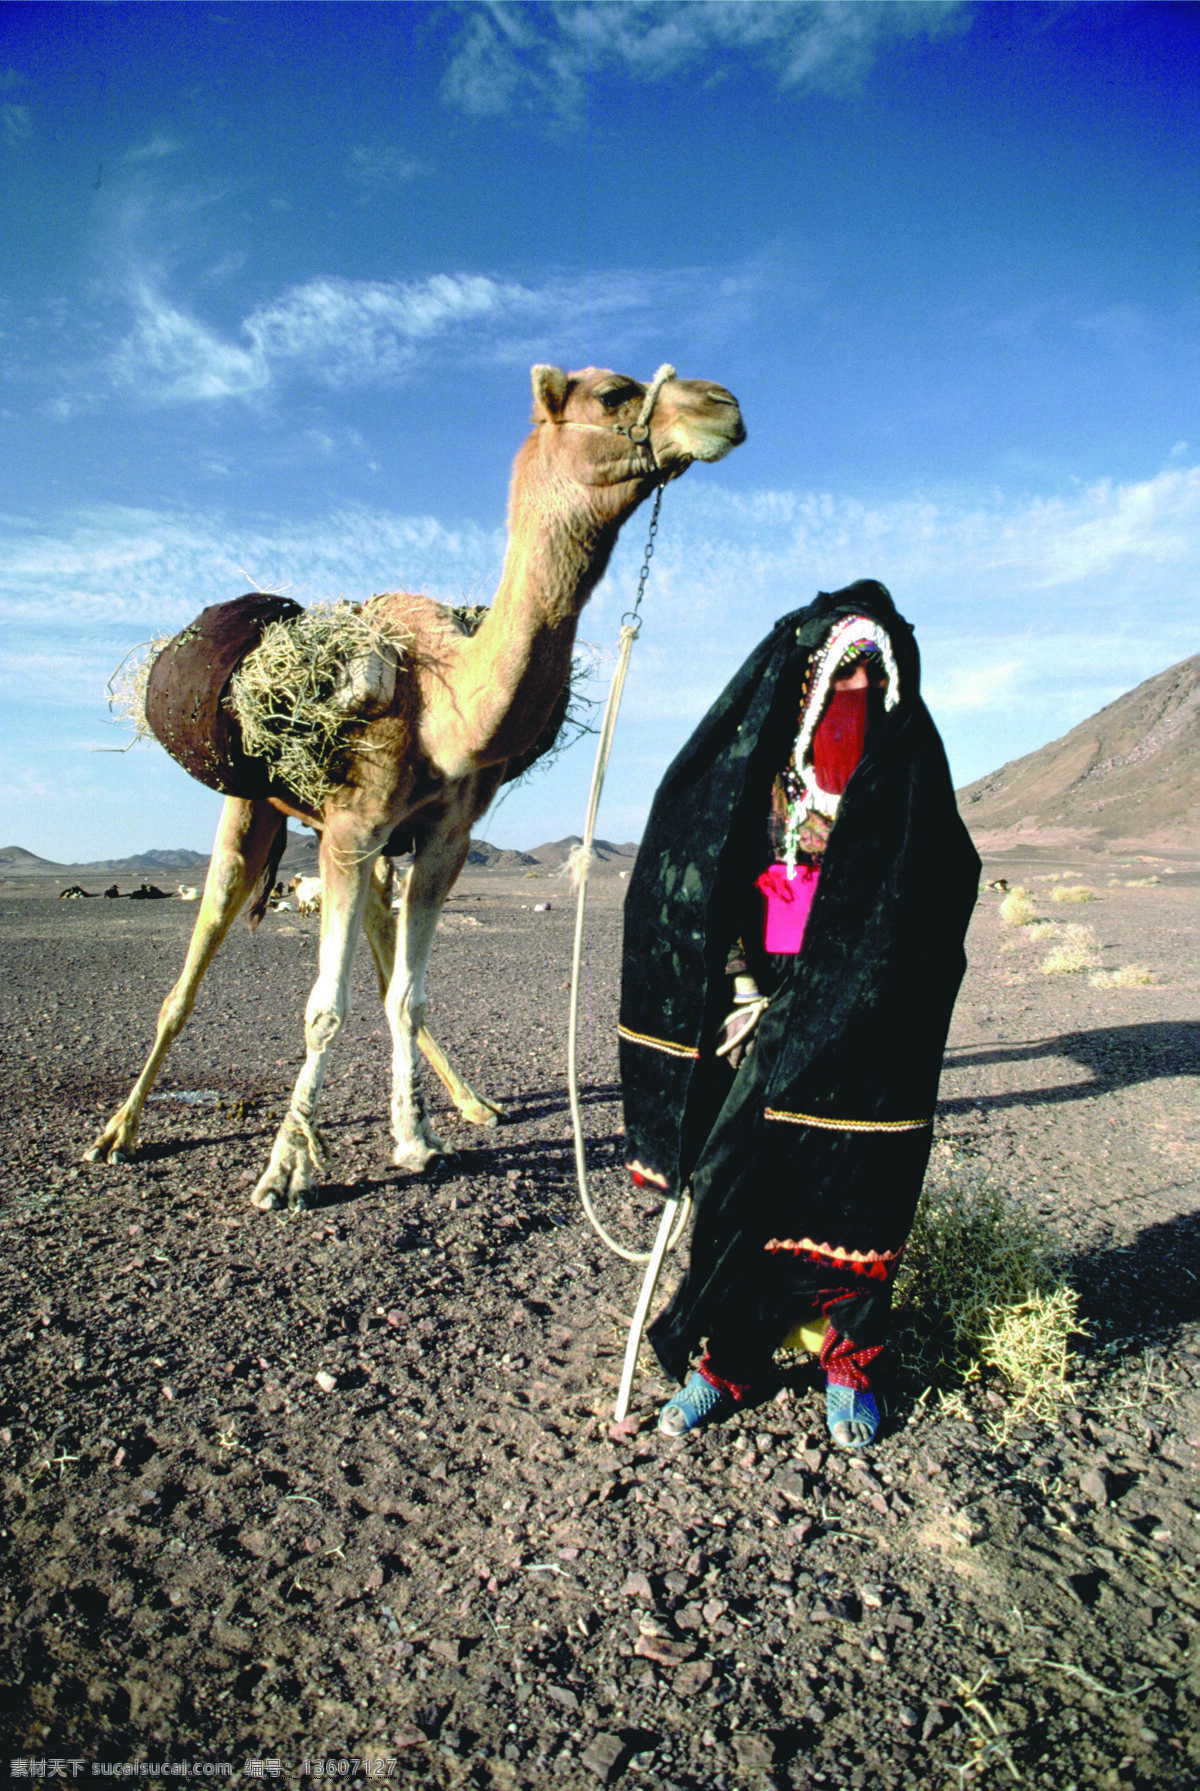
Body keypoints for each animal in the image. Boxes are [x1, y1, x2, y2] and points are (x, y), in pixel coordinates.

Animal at [84, 363, 748, 1210]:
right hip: (253, 811)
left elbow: (405, 993)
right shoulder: (351, 830)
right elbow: (322, 1010)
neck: (445, 703)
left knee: (378, 952)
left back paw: (466, 1101)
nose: (724, 407)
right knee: (191, 970)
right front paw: (283, 1169)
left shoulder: (438, 841)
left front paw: (415, 1136)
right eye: (612, 393)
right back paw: (119, 1130)